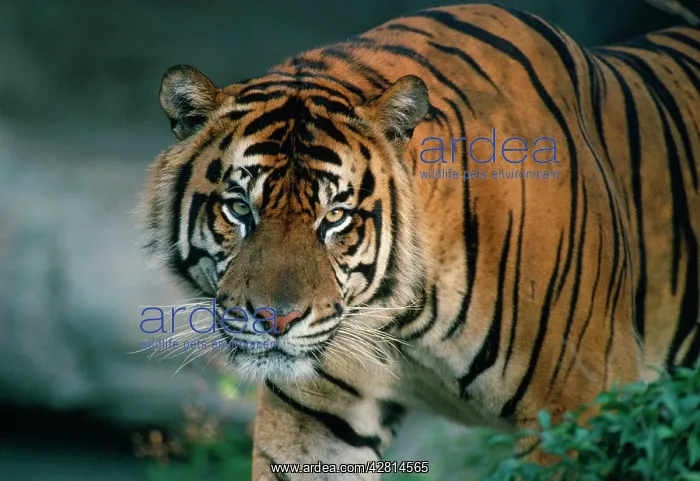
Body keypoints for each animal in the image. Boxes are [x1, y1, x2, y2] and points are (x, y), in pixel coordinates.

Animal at [139, 3, 700, 479]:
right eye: (240, 209)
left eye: (335, 217)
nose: (276, 321)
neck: (400, 319)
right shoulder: (315, 422)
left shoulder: (575, 409)